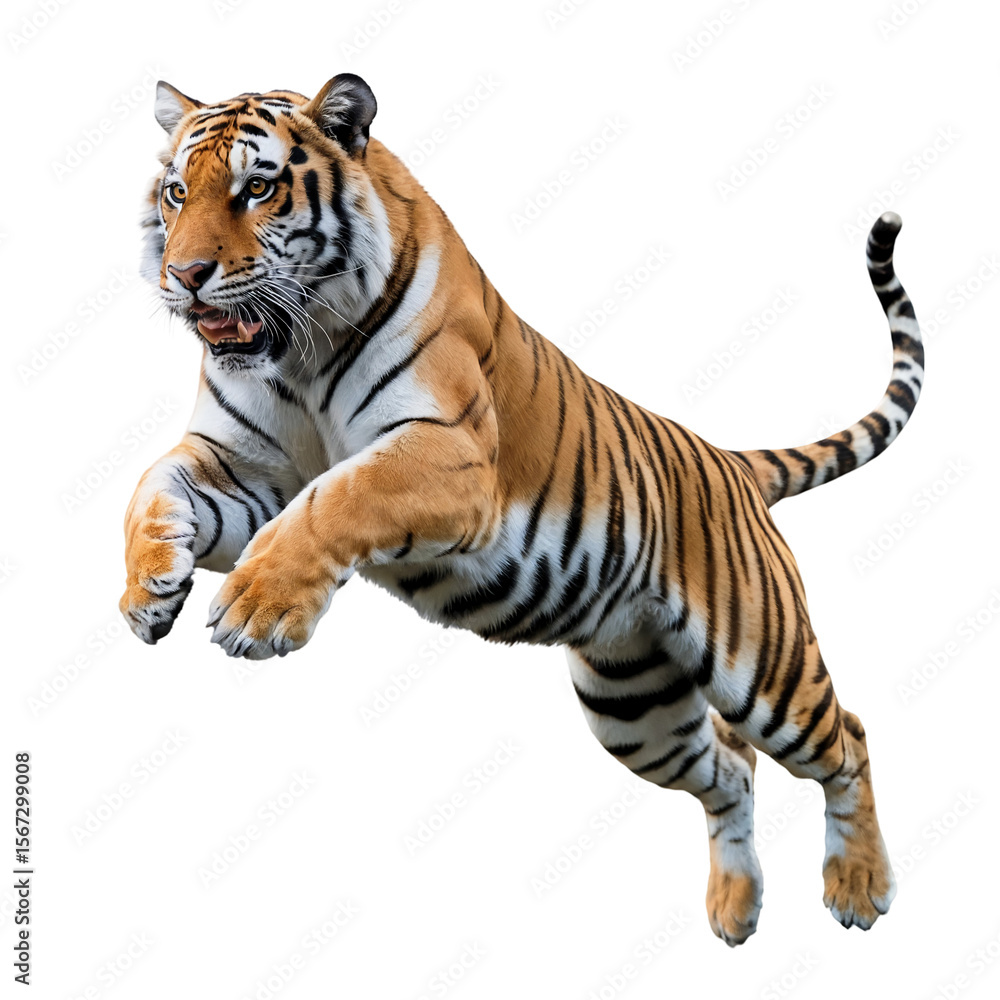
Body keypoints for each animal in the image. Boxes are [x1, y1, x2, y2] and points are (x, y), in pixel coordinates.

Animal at [121, 72, 923, 945]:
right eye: (175, 193)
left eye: (257, 189)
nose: (184, 274)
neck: (295, 354)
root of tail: (730, 462)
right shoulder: (243, 466)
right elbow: (151, 489)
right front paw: (148, 592)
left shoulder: (448, 453)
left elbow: (334, 497)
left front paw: (256, 611)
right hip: (632, 703)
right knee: (730, 768)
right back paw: (735, 907)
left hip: (762, 663)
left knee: (847, 738)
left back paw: (860, 888)